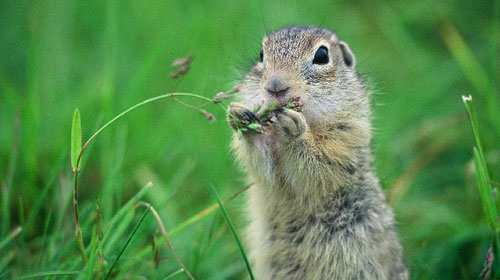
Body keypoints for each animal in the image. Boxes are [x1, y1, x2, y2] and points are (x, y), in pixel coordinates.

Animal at [229, 26, 408, 280]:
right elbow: (262, 167)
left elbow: (321, 165)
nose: (275, 86)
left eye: (322, 55)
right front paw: (240, 116)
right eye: (261, 55)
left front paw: (294, 129)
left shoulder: (345, 138)